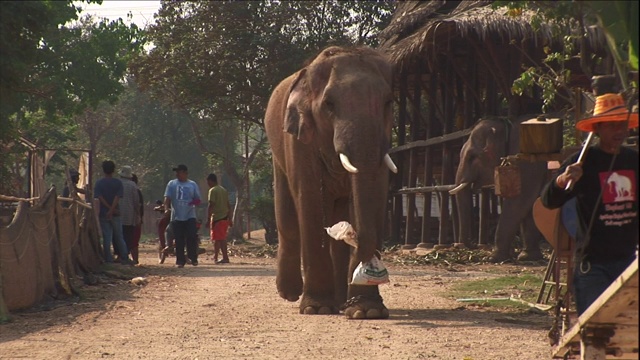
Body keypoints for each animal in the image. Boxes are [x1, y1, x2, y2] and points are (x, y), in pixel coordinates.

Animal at [264, 46, 396, 320]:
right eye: (329, 104)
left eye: (388, 102)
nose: (368, 270)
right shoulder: (299, 141)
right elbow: (311, 200)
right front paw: (317, 308)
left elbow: (375, 192)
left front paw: (366, 311)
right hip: (277, 153)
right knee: (287, 216)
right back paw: (291, 293)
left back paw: (340, 302)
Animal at [450, 115, 552, 262]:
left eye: (472, 156)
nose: (474, 245)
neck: (507, 126)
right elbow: (530, 205)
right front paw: (527, 257)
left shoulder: (528, 164)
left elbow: (519, 203)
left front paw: (493, 258)